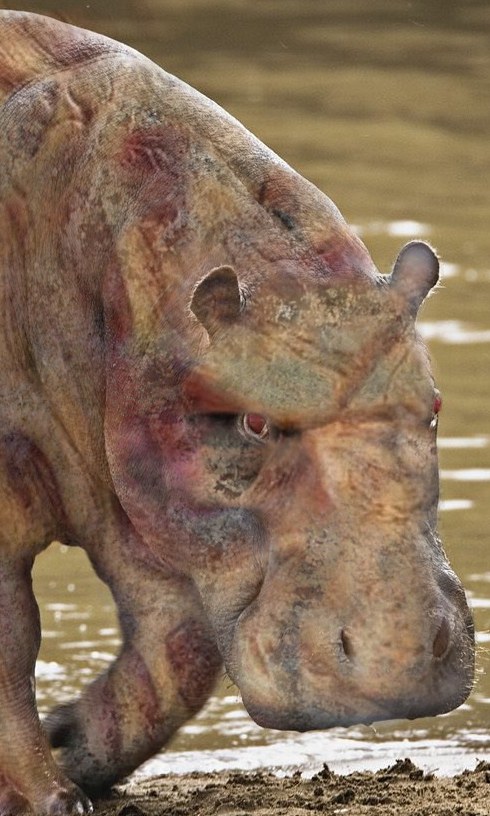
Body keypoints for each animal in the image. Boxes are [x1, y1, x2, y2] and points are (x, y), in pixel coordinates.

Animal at [0, 10, 474, 816]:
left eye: (436, 405)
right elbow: (12, 641)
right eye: (254, 422)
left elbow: (177, 648)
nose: (402, 654)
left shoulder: (128, 497)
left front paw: (73, 744)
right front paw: (53, 796)